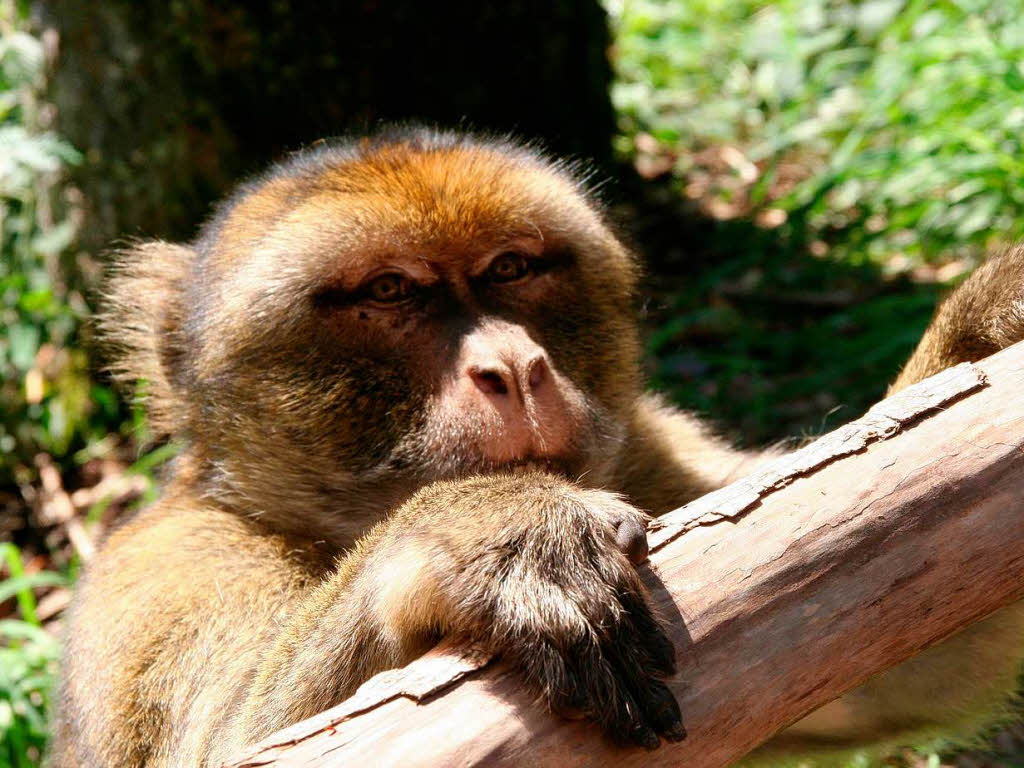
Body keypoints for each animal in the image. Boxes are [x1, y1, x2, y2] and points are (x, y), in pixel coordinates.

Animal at [51, 129, 1024, 765]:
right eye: (390, 291)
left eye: (511, 269)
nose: (514, 366)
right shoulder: (167, 581)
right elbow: (243, 744)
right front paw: (494, 531)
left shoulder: (653, 451)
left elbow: (886, 631)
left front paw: (984, 321)